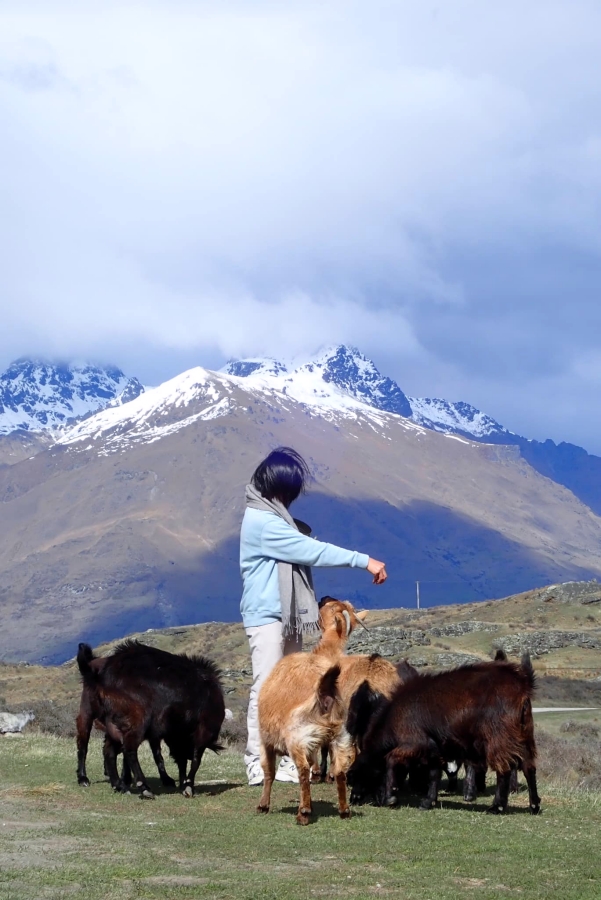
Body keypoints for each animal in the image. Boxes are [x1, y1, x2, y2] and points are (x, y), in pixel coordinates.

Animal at [76, 640, 224, 796]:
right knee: (119, 748)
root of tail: (100, 673)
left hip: (112, 723)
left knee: (109, 751)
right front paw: (188, 786)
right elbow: (196, 759)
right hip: (125, 718)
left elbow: (168, 756)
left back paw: (119, 785)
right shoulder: (203, 729)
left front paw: (181, 783)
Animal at [256, 596, 366, 824]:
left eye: (329, 607)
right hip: (340, 736)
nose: (323, 598)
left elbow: (269, 772)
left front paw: (263, 805)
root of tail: (325, 693)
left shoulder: (266, 739)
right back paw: (344, 810)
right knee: (340, 771)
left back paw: (304, 812)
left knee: (303, 771)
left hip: (298, 737)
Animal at [344, 652, 536, 816]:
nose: (354, 799)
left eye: (363, 774)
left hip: (498, 738)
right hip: (525, 735)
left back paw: (497, 806)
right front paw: (428, 801)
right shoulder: (433, 749)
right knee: (529, 767)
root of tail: (522, 682)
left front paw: (392, 796)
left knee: (505, 769)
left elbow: (391, 759)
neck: (394, 715)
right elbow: (434, 773)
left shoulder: (414, 743)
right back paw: (534, 805)